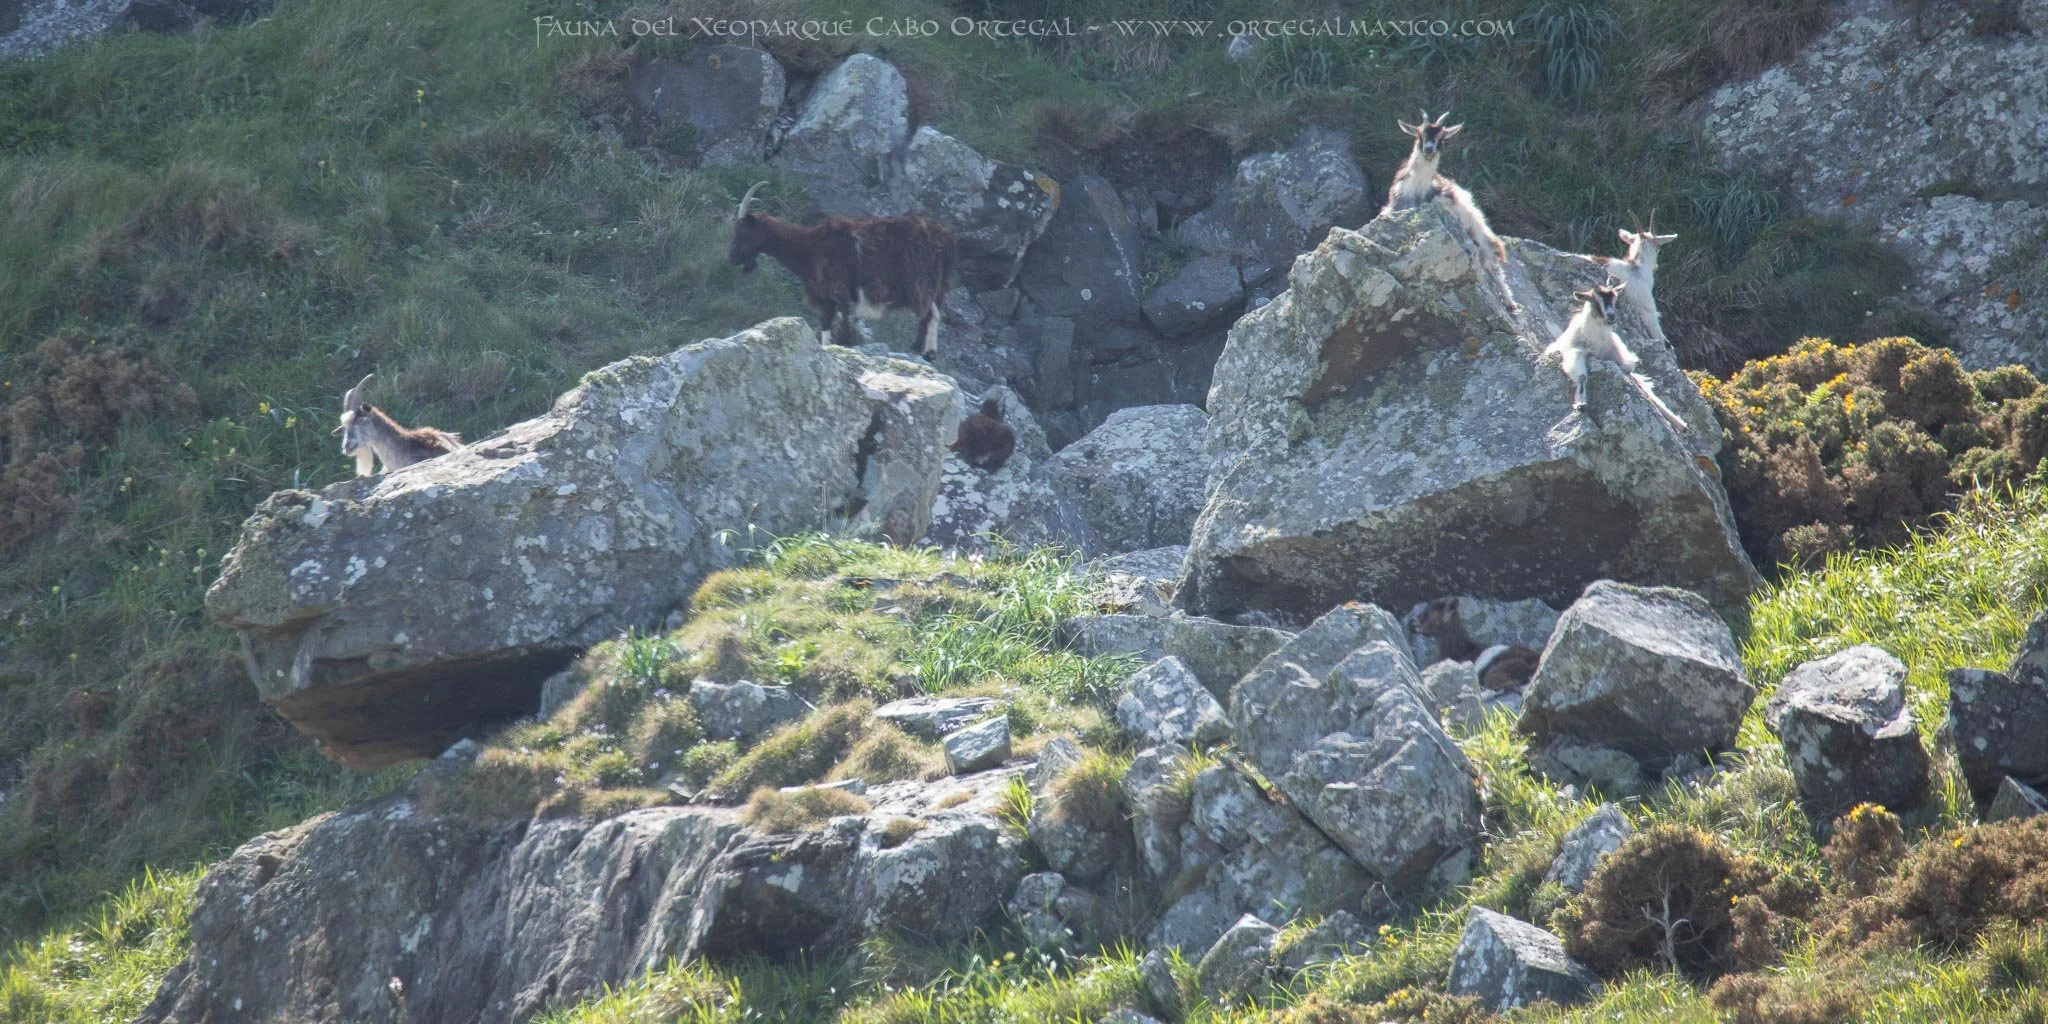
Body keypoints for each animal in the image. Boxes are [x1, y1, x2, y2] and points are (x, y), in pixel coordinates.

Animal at [727, 182, 958, 358]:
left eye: (742, 231)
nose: (732, 258)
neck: (810, 247)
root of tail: (943, 240)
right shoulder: (831, 297)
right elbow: (827, 326)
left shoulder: (837, 290)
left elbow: (839, 323)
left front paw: (844, 345)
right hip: (935, 286)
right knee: (928, 314)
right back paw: (918, 350)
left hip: (920, 282)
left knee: (931, 314)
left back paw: (927, 353)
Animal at [1385, 110, 1518, 311]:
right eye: (1420, 134)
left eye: (1442, 138)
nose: (1429, 149)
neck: (1418, 189)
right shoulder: (1392, 207)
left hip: (1478, 229)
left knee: (1492, 261)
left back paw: (1510, 303)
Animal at [1544, 281, 1689, 433]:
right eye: (1595, 300)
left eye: (1615, 299)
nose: (1612, 316)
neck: (1595, 341)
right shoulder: (1575, 351)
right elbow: (1581, 376)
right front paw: (1581, 404)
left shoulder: (1620, 360)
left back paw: (1680, 424)